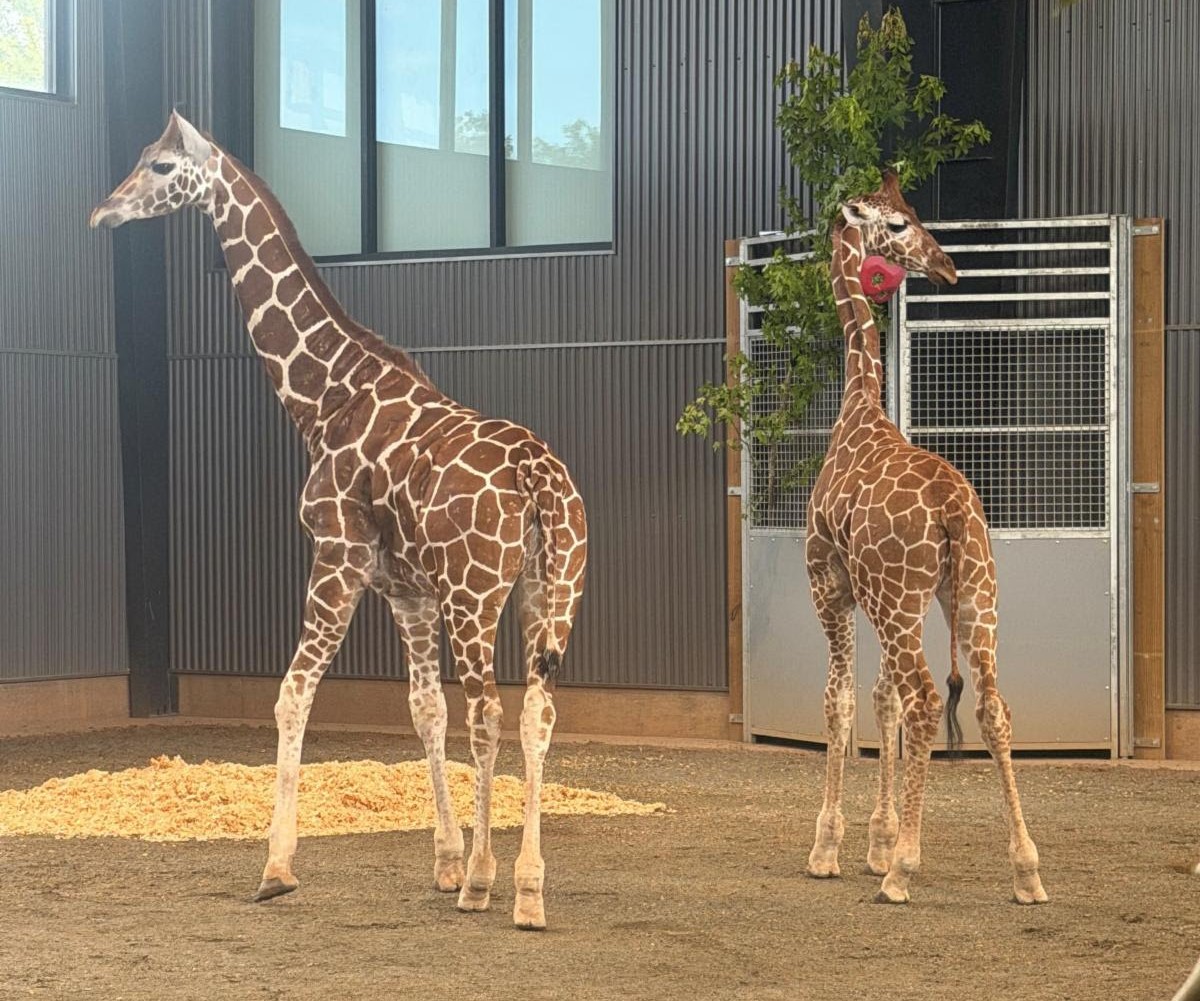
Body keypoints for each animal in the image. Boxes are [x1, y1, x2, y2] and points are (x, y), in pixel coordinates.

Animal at [89, 111, 587, 930]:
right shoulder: (405, 589)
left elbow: (294, 693)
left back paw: (490, 882)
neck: (324, 396)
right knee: (536, 711)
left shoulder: (338, 554)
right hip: (551, 590)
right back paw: (528, 888)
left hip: (476, 594)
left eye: (160, 166)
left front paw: (277, 867)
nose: (103, 213)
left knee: (491, 708)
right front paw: (445, 861)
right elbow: (424, 710)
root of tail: (538, 478)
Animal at [803, 170, 1048, 906]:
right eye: (900, 223)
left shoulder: (830, 584)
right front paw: (878, 840)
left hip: (900, 597)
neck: (858, 409)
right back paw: (1027, 869)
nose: (947, 265)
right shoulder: (878, 597)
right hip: (971, 594)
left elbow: (841, 700)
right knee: (992, 704)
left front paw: (834, 848)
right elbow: (877, 699)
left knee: (927, 698)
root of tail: (951, 511)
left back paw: (904, 872)